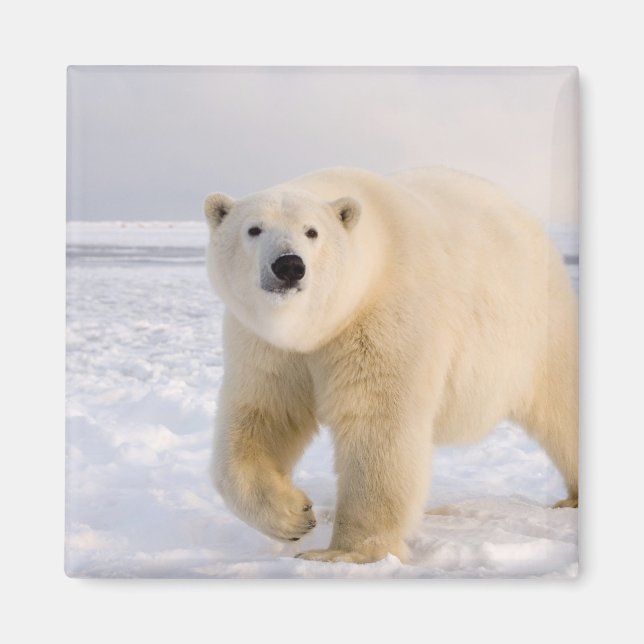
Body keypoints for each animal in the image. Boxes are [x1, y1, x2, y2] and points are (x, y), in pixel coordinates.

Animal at [203, 166, 578, 564]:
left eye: (312, 231)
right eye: (254, 229)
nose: (289, 265)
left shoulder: (385, 317)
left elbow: (377, 423)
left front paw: (344, 553)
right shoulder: (266, 345)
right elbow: (264, 414)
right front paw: (294, 515)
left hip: (536, 330)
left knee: (561, 404)